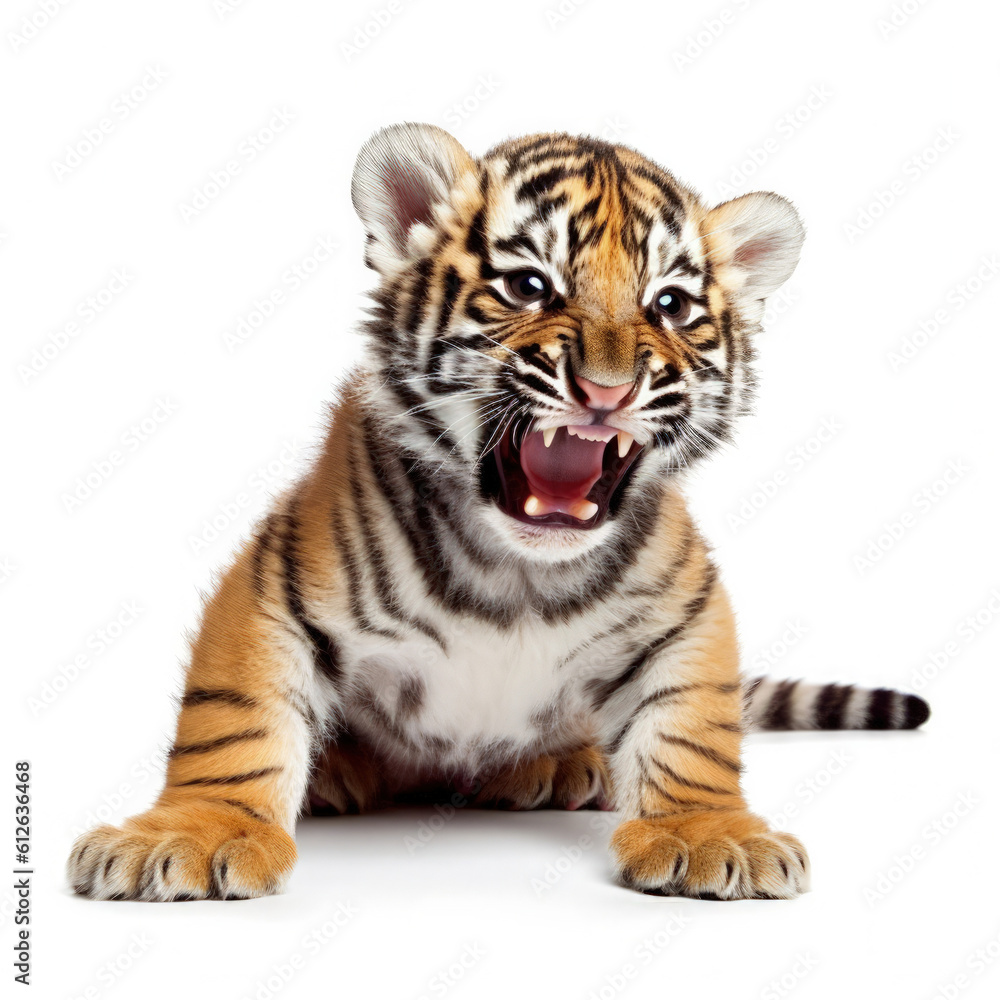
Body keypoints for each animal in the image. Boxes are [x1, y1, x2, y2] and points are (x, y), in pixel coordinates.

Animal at [67, 123, 930, 903]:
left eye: (670, 305)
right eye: (529, 287)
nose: (607, 389)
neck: (519, 568)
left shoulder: (687, 606)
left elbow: (694, 725)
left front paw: (708, 833)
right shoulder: (268, 587)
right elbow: (234, 720)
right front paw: (194, 834)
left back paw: (562, 766)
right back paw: (338, 775)